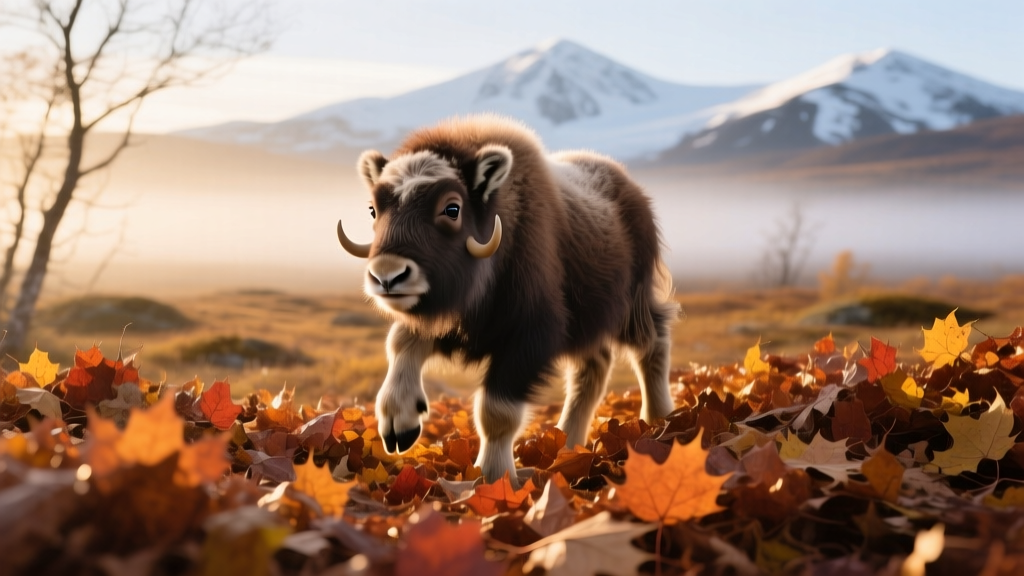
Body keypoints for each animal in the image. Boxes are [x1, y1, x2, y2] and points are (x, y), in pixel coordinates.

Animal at [336, 115, 677, 485]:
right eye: (373, 210)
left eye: (452, 208)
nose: (387, 276)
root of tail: (634, 190)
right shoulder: (450, 320)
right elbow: (401, 341)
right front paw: (400, 423)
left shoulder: (530, 334)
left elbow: (495, 412)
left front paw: (491, 476)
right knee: (592, 370)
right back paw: (568, 446)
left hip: (633, 304)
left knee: (651, 345)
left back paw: (658, 422)